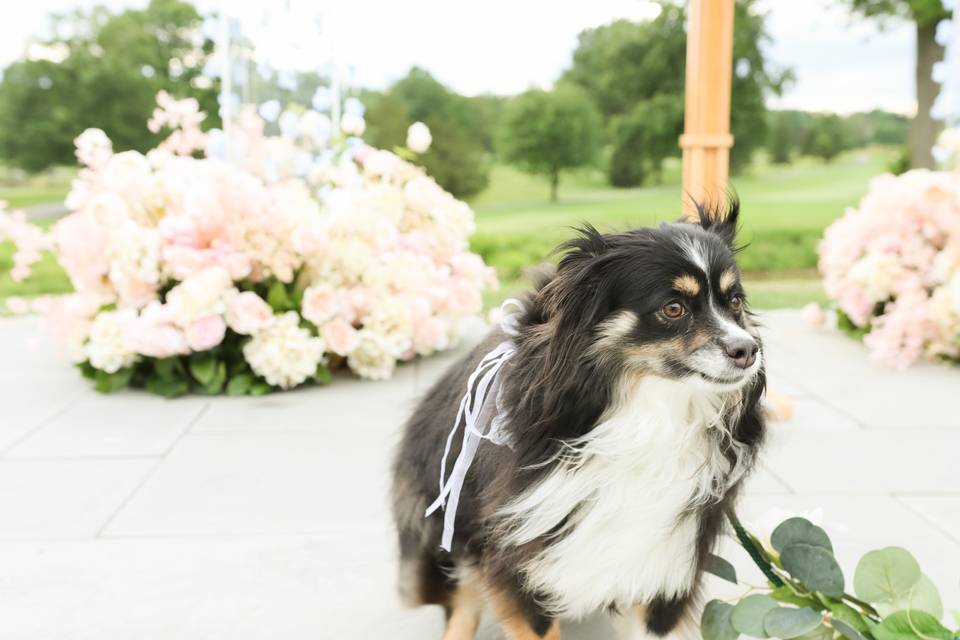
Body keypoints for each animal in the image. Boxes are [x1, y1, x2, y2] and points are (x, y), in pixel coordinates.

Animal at [390, 202, 764, 640]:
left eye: (735, 302)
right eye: (674, 308)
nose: (748, 350)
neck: (648, 415)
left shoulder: (665, 563)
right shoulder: (521, 558)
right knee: (460, 605)